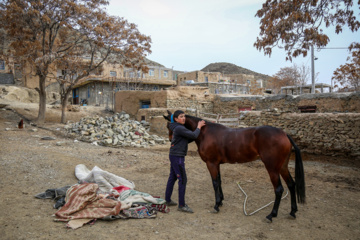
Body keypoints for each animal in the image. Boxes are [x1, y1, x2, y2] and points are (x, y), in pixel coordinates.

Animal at [165, 110, 306, 221]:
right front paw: (221, 201)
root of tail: (284, 134)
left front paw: (216, 205)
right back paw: (292, 211)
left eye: (169, 125)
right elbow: (219, 181)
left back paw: (271, 215)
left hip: (272, 169)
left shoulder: (211, 164)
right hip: (282, 167)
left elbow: (215, 183)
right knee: (291, 185)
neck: (205, 133)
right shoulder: (216, 164)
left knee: (279, 190)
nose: (170, 139)